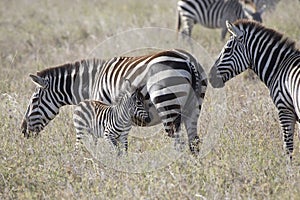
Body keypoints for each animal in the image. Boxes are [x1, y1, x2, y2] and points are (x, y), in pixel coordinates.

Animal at [21, 49, 207, 154]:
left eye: (34, 100)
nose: (23, 131)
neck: (92, 82)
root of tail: (187, 60)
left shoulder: (99, 110)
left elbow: (98, 143)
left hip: (166, 102)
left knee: (178, 142)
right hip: (194, 107)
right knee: (194, 141)